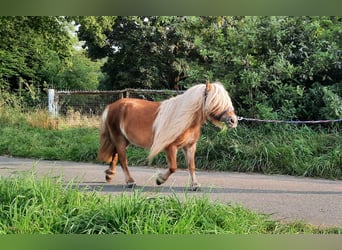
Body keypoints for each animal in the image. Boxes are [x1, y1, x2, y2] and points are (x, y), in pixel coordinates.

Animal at [98, 81, 238, 189]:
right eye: (216, 101)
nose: (233, 121)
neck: (186, 119)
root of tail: (112, 106)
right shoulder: (171, 147)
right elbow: (173, 167)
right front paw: (160, 180)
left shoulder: (190, 146)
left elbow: (191, 166)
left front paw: (195, 185)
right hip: (119, 139)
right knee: (123, 159)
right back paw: (130, 182)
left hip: (125, 140)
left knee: (115, 154)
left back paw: (109, 174)